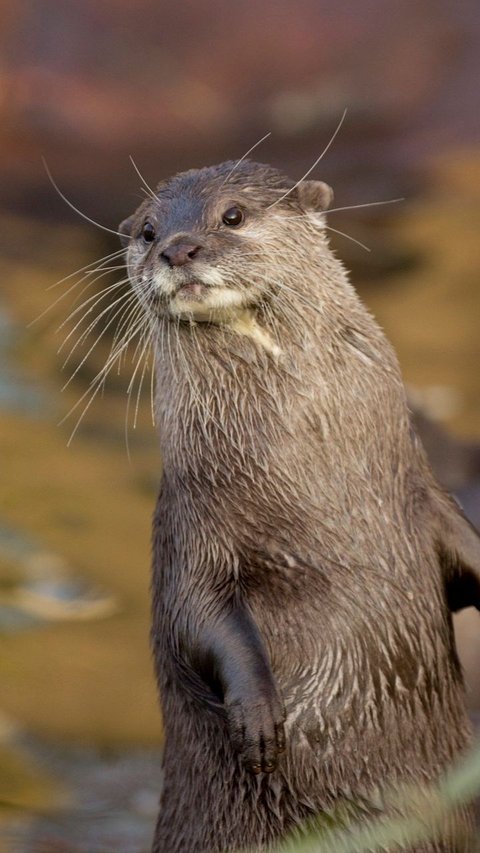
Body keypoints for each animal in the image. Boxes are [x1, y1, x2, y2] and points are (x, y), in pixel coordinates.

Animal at [117, 161, 480, 852]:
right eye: (148, 230)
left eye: (232, 215)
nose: (177, 248)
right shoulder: (192, 530)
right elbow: (196, 616)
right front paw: (260, 719)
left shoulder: (420, 491)